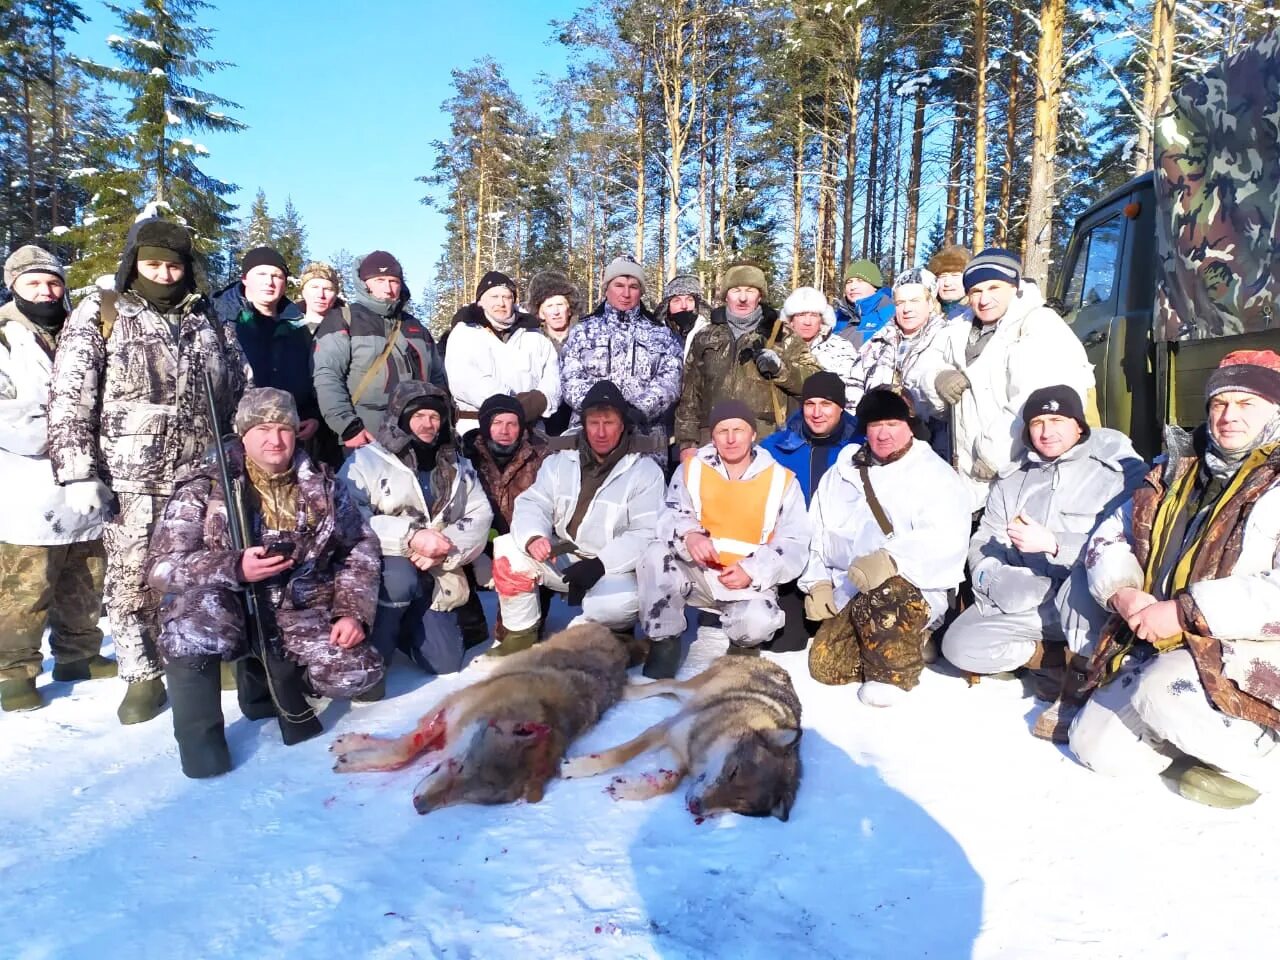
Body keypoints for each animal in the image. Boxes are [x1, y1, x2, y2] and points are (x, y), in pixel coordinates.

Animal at [332, 624, 627, 814]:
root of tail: (610, 633)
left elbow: (405, 749)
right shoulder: (448, 707)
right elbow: (404, 749)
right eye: (460, 767)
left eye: (467, 797)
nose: (420, 807)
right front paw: (351, 749)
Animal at [560, 660, 798, 824]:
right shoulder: (665, 729)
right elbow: (620, 754)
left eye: (738, 807)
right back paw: (629, 688)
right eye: (734, 771)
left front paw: (628, 787)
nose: (695, 807)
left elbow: (669, 782)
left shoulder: (677, 756)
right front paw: (578, 767)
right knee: (668, 683)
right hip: (692, 689)